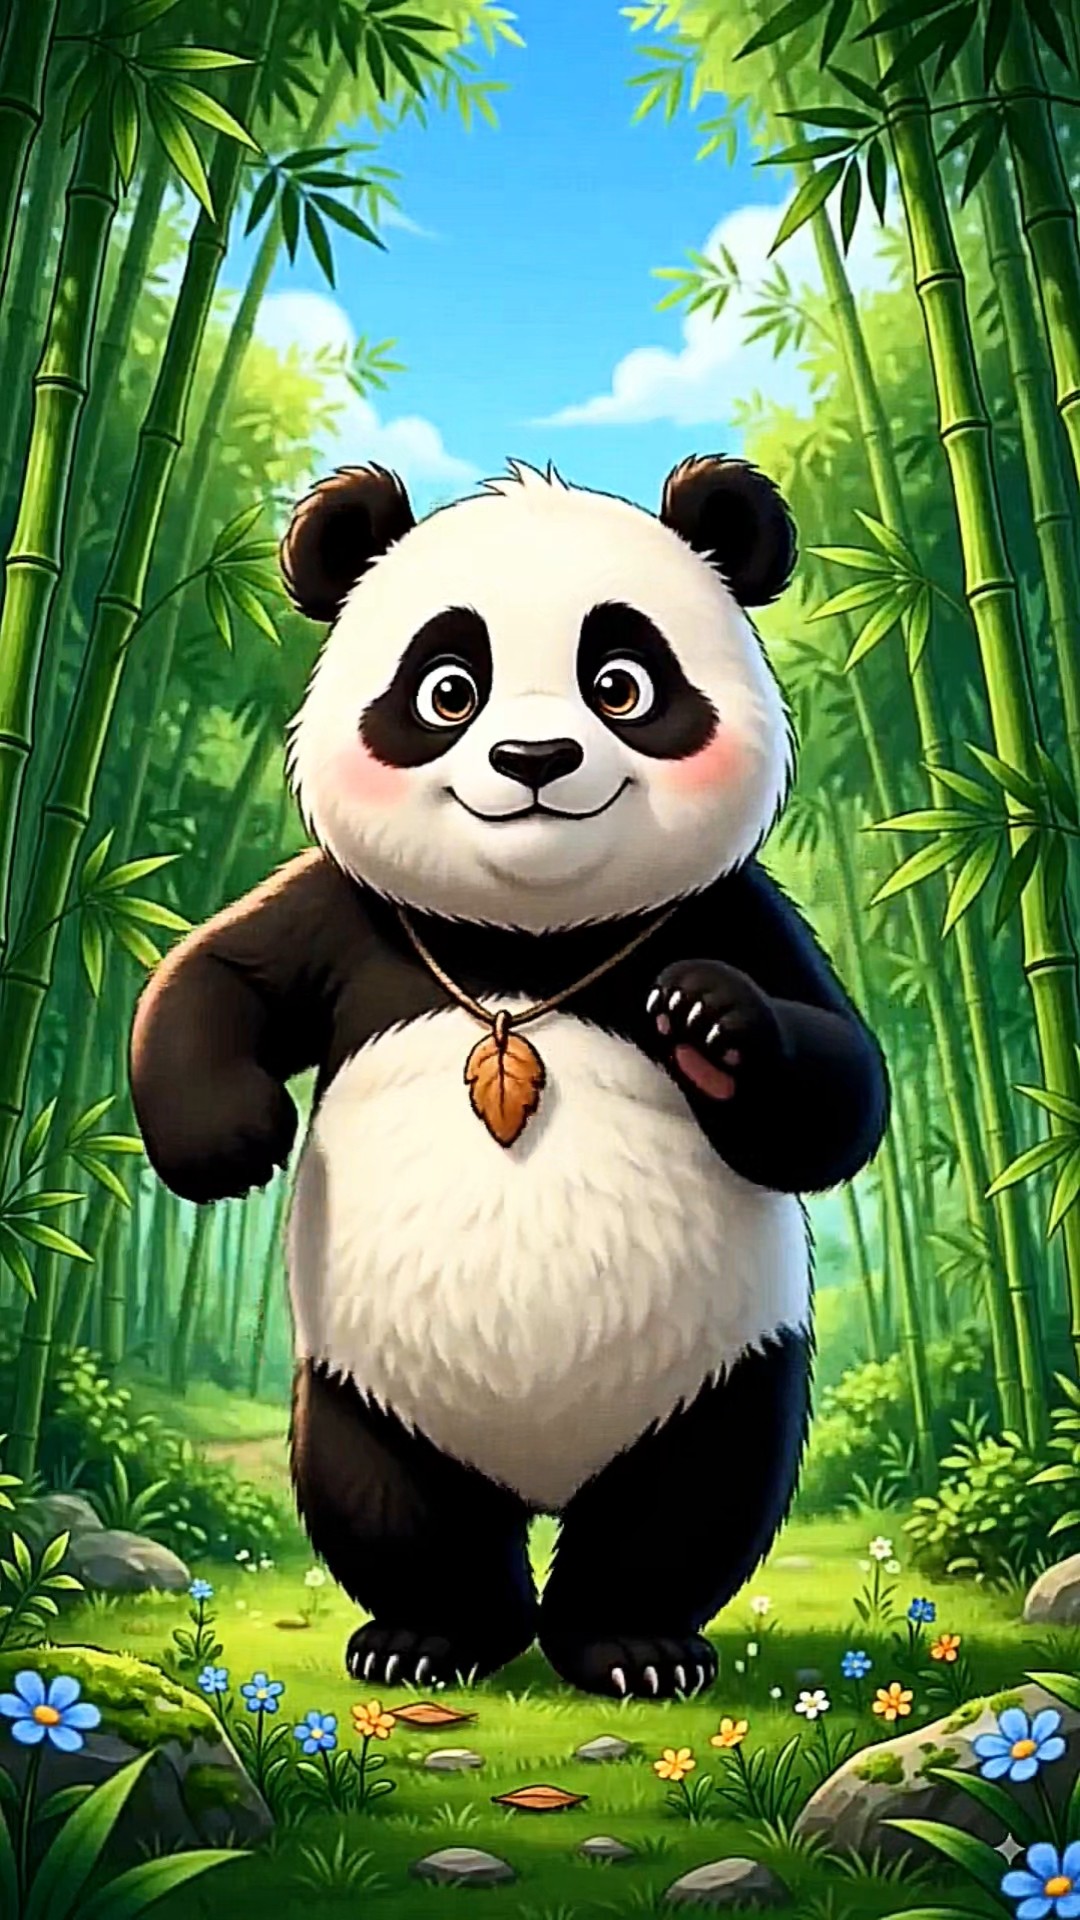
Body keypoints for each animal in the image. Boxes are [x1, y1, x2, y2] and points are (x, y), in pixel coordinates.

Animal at [129, 453, 888, 1701]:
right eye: (449, 690)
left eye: (622, 684)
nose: (536, 761)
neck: (526, 946)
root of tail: (540, 1476)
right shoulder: (353, 916)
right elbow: (212, 977)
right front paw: (233, 1138)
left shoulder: (738, 914)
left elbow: (840, 1095)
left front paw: (708, 1022)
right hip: (365, 1381)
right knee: (387, 1497)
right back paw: (431, 1639)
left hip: (722, 1367)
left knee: (693, 1500)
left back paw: (631, 1646)